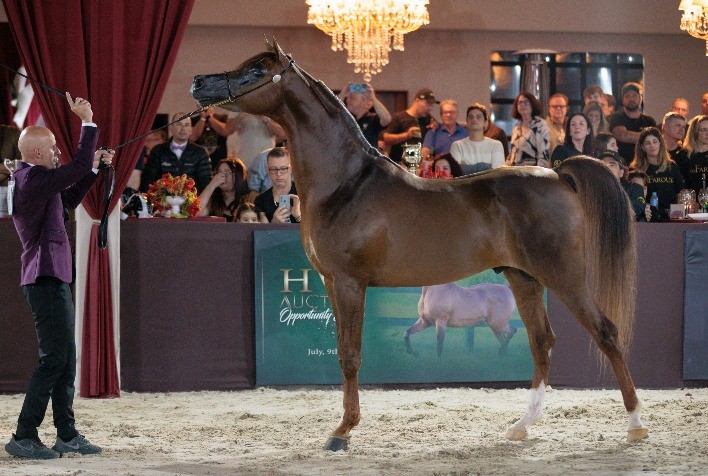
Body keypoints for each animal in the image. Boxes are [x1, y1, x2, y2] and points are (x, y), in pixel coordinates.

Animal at [190, 39, 648, 449]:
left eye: (256, 69)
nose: (198, 82)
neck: (347, 184)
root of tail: (558, 175)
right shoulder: (332, 283)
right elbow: (342, 352)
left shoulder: (350, 282)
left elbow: (350, 355)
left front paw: (342, 432)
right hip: (524, 279)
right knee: (541, 342)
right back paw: (521, 427)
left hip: (563, 275)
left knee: (606, 333)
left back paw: (635, 426)